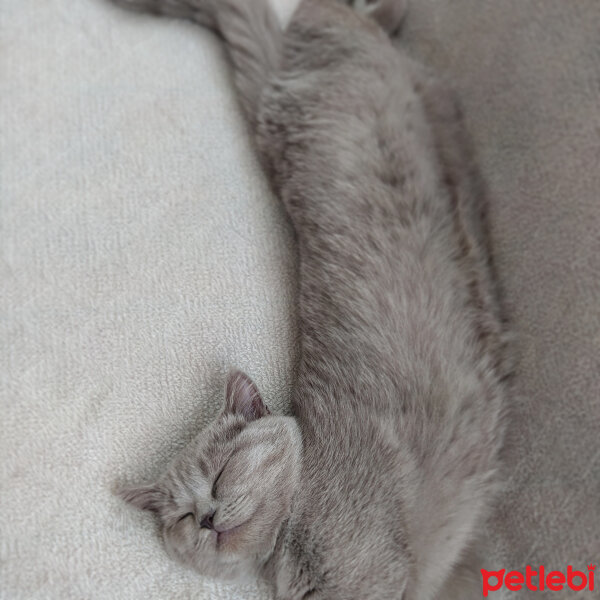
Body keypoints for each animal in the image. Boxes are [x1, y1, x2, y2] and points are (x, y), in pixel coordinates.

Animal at [116, 1, 510, 600]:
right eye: (182, 518)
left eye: (223, 474)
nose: (205, 518)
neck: (286, 556)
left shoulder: (372, 577)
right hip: (346, 99)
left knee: (314, 14)